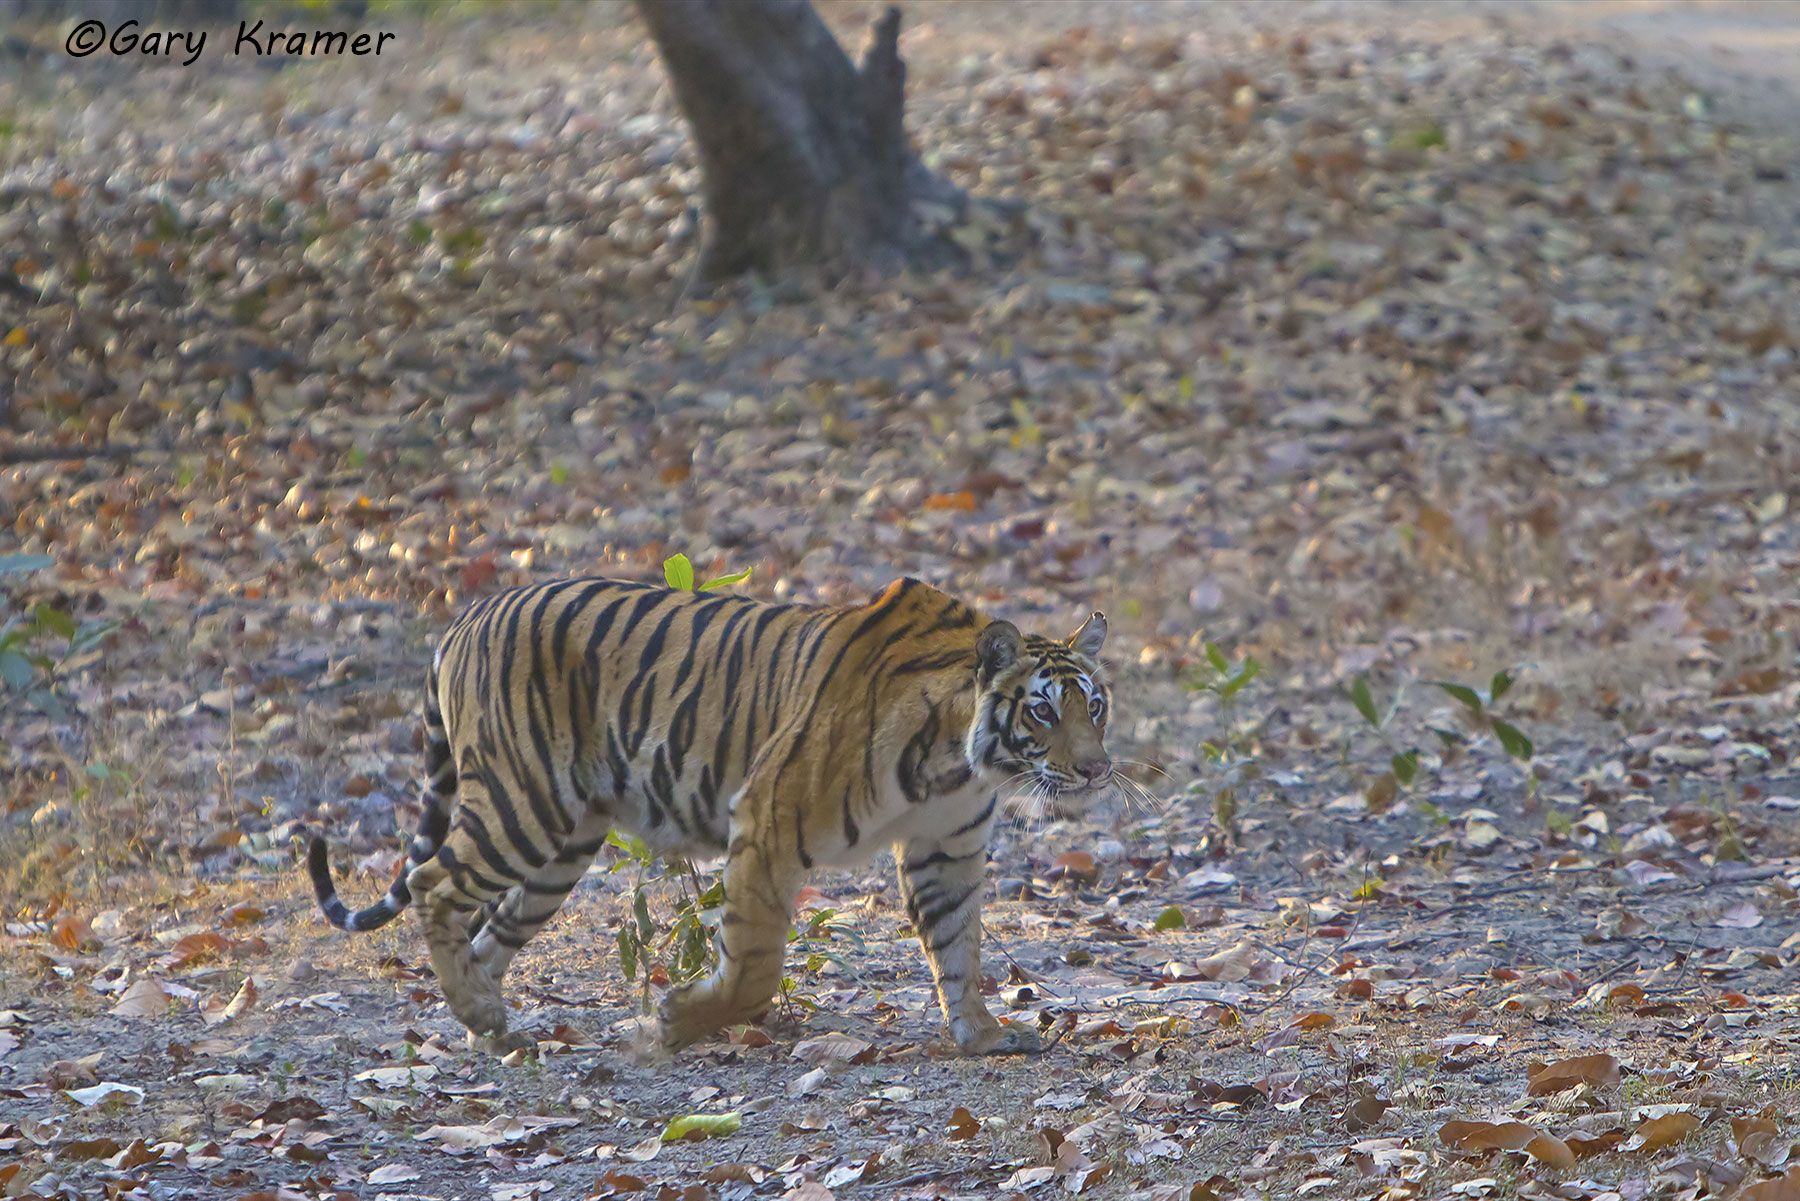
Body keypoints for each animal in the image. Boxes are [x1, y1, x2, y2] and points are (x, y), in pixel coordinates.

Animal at [307, 575, 1114, 1056]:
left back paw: (490, 1024)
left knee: (488, 928)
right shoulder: (768, 818)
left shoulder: (945, 847)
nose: (1096, 769)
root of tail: (465, 616)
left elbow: (958, 944)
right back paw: (479, 1014)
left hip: (563, 843)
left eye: (1095, 705)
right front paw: (680, 1019)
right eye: (1042, 711)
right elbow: (755, 960)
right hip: (521, 804)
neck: (961, 759)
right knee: (433, 884)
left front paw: (980, 1032)